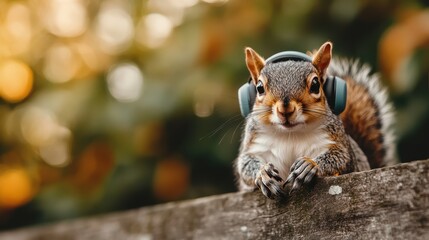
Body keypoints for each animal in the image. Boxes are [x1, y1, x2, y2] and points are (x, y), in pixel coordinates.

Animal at [234, 41, 394, 199]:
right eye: (259, 88)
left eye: (316, 85)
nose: (285, 110)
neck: (290, 134)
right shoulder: (255, 144)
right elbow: (245, 165)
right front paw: (263, 173)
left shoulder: (337, 143)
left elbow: (341, 159)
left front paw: (310, 165)